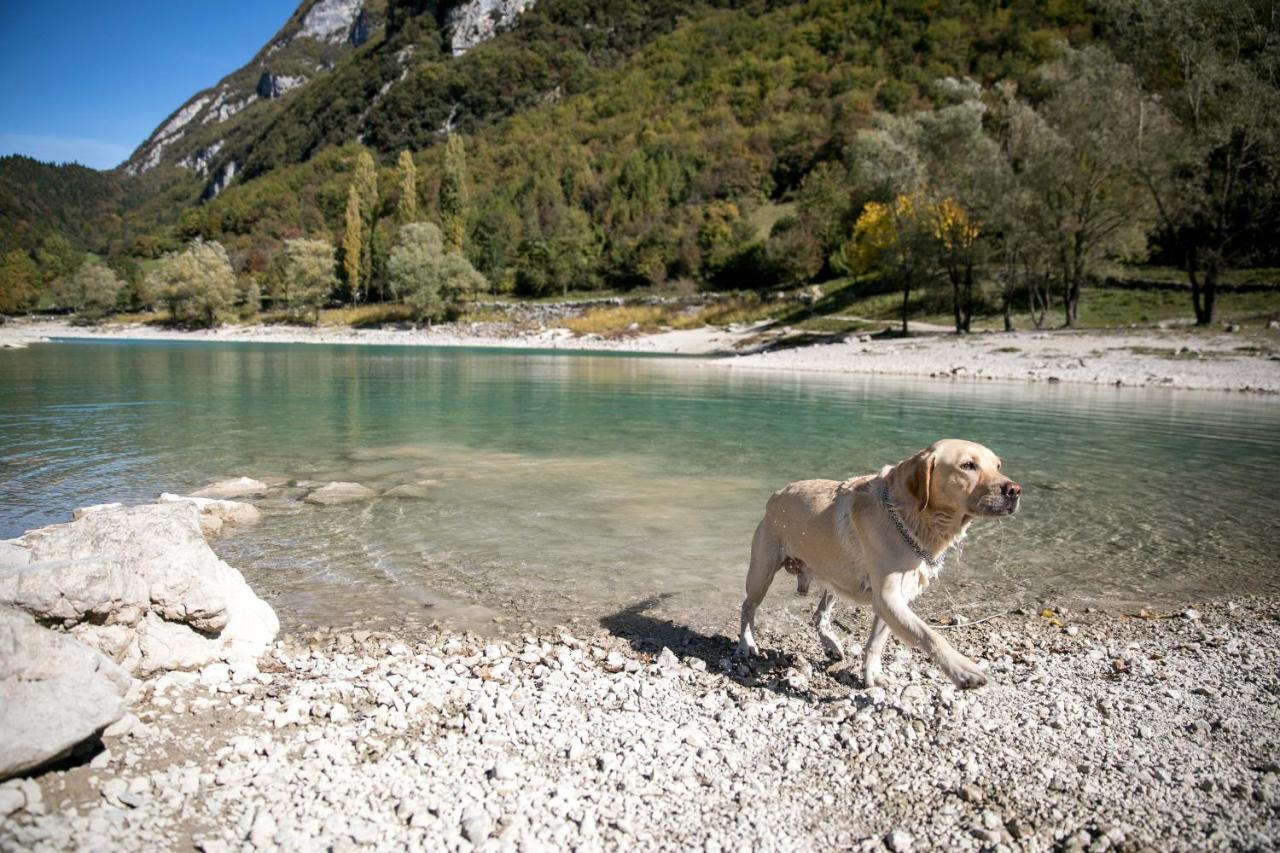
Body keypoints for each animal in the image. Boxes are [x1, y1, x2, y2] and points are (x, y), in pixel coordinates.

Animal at [742, 435, 1018, 686]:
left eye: (998, 466)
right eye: (968, 465)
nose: (1015, 490)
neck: (912, 517)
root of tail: (776, 494)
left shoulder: (894, 598)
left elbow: (877, 641)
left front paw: (872, 675)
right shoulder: (887, 597)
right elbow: (930, 635)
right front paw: (962, 669)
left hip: (837, 577)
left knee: (819, 615)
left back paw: (831, 645)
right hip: (762, 572)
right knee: (748, 607)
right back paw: (747, 644)